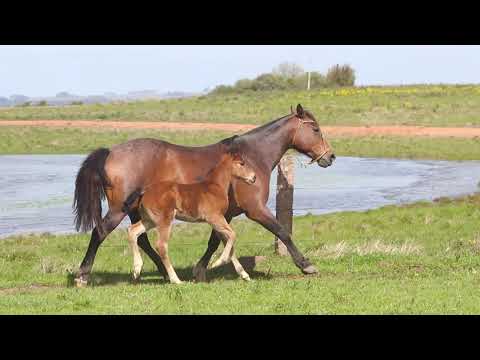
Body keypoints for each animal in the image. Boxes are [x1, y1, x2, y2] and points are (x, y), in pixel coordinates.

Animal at [125, 150, 256, 284]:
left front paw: (245, 275)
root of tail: (144, 193)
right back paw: (176, 280)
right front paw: (218, 262)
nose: (254, 177)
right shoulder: (215, 218)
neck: (215, 187)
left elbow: (227, 242)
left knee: (133, 231)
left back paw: (136, 269)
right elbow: (233, 235)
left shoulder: (217, 222)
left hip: (149, 220)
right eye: (242, 163)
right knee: (161, 245)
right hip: (164, 220)